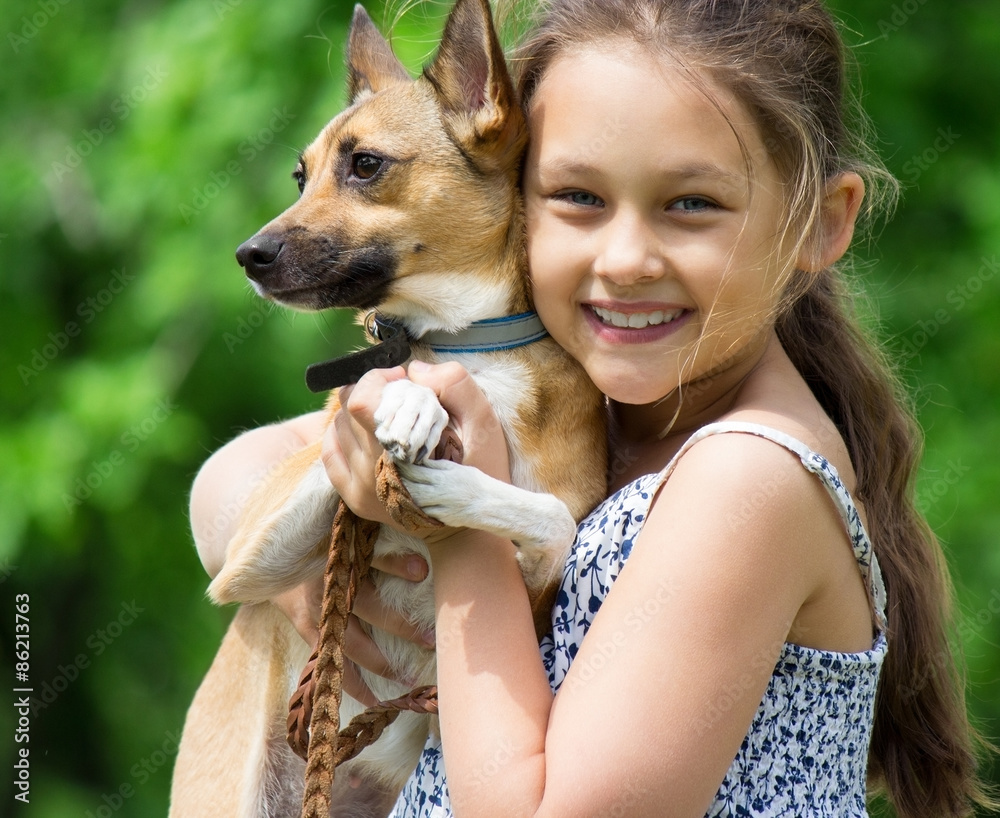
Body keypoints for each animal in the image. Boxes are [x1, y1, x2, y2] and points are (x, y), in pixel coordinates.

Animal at [169, 0, 604, 812]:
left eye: (365, 165)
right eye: (300, 174)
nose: (249, 256)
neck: (468, 342)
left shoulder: (537, 589)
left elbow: (554, 520)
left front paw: (459, 484)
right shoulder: (247, 560)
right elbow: (386, 381)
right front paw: (411, 401)